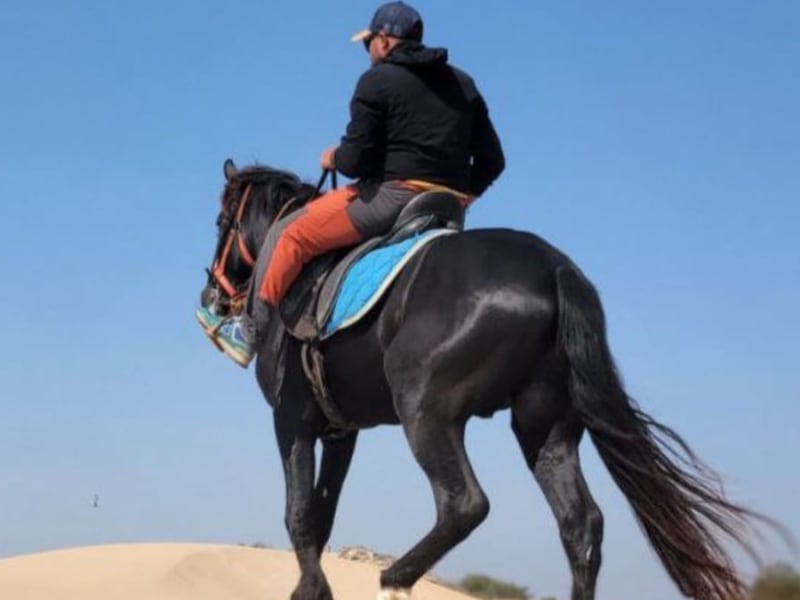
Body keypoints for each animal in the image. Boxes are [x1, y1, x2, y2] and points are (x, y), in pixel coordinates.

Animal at [199, 160, 765, 600]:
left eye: (222, 220)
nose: (212, 295)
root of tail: (556, 269)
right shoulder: (343, 431)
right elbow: (321, 516)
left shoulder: (292, 419)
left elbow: (298, 513)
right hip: (545, 427)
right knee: (580, 523)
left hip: (426, 411)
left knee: (464, 504)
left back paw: (394, 579)